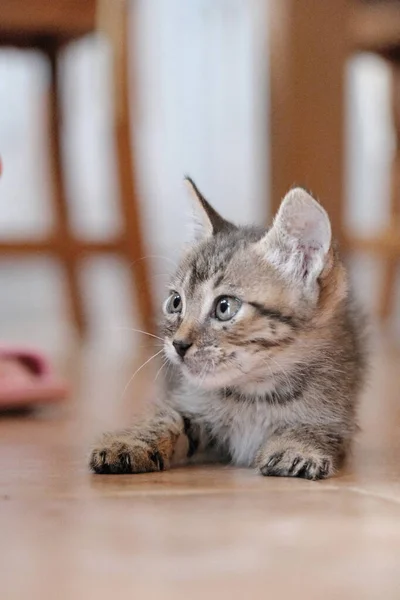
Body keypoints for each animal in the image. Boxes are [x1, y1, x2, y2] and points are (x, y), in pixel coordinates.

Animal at [90, 179, 366, 482]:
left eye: (225, 307)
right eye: (175, 302)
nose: (178, 344)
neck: (255, 393)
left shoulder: (338, 417)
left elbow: (315, 427)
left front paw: (297, 448)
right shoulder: (191, 399)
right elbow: (167, 418)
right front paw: (129, 442)